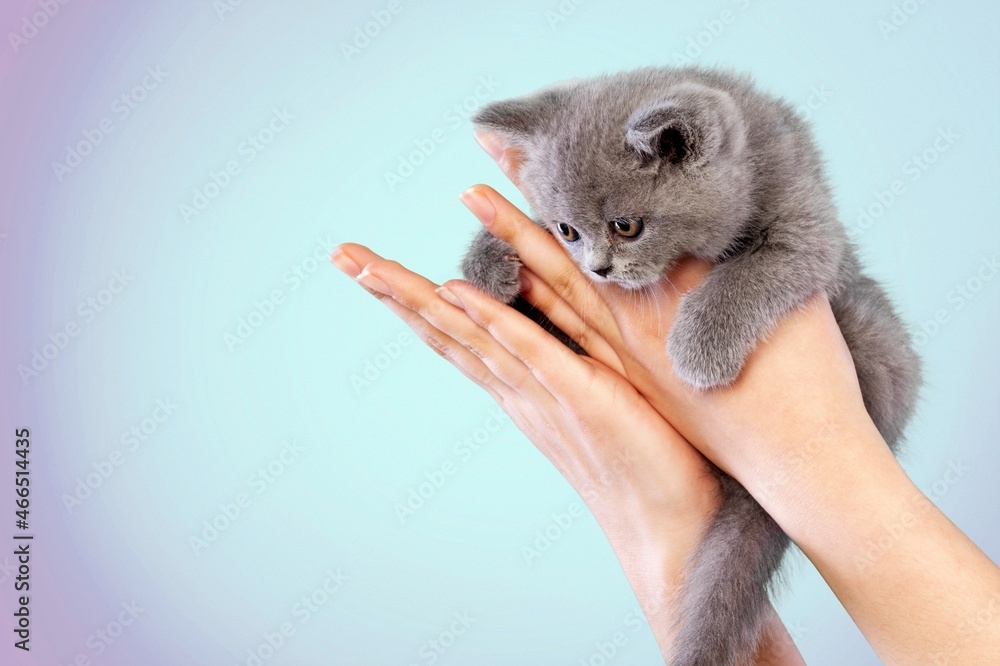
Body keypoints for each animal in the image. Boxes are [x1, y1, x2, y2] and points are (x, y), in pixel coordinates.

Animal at [460, 65, 920, 660]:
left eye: (626, 226)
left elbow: (751, 271)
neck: (751, 161)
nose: (599, 269)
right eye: (568, 231)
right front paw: (486, 259)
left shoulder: (809, 229)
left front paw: (699, 347)